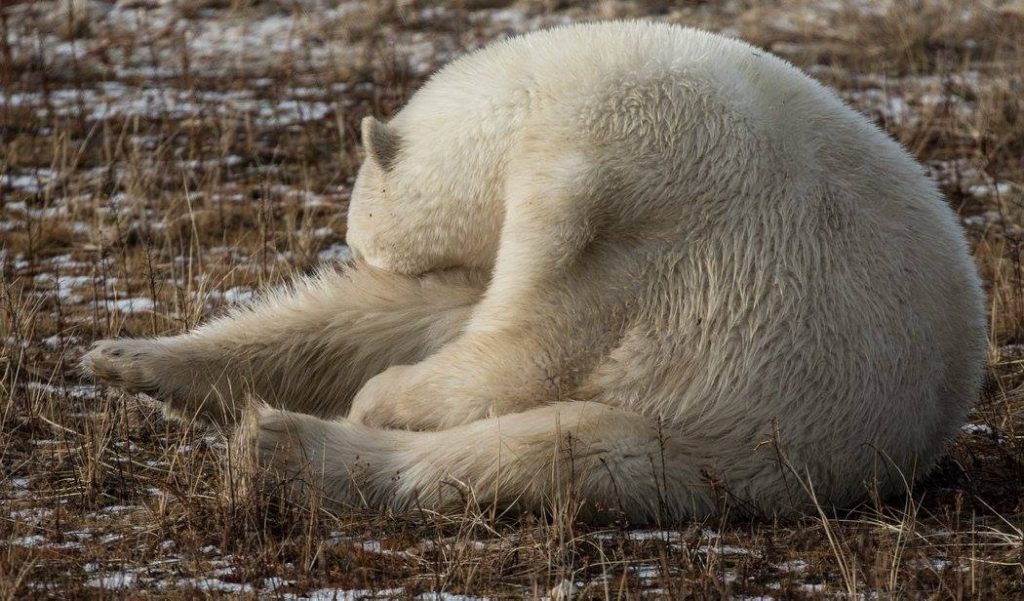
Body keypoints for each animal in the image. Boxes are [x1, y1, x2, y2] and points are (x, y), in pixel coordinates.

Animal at [82, 21, 987, 523]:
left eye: (364, 237)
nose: (358, 250)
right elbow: (392, 317)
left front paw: (384, 396)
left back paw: (282, 447)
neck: (532, 100)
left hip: (750, 435)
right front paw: (124, 357)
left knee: (551, 452)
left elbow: (532, 343)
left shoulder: (615, 185)